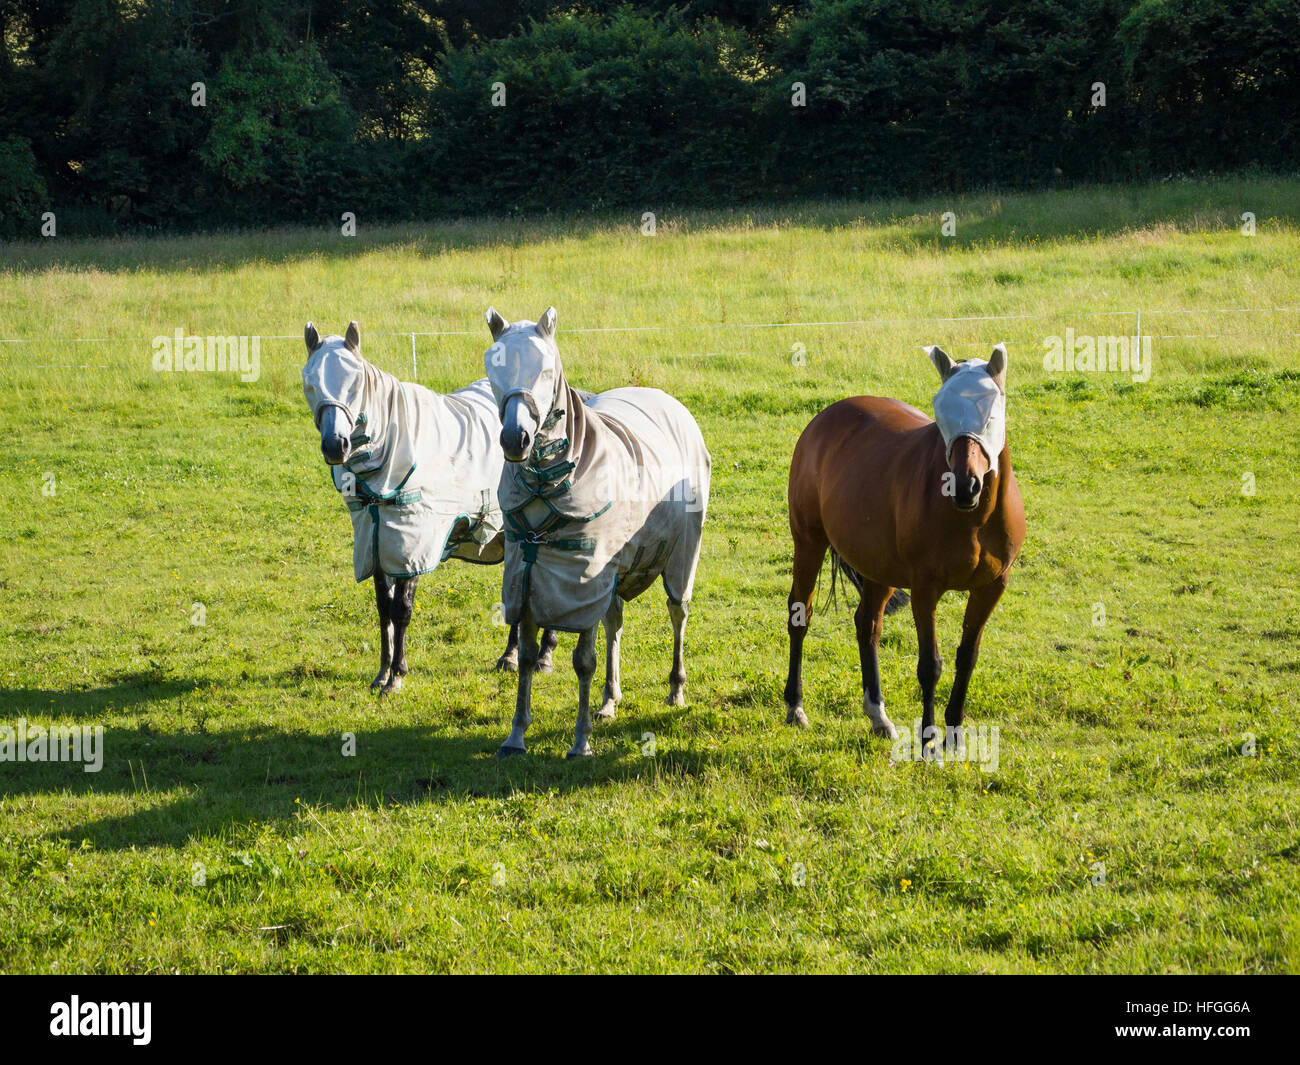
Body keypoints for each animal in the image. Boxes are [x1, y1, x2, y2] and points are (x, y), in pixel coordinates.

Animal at [300, 321, 559, 690]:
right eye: (310, 383)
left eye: (355, 382)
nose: (336, 445)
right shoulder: (377, 542)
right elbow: (384, 608)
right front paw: (382, 672)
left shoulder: (413, 543)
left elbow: (402, 609)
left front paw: (396, 676)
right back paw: (510, 656)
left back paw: (544, 656)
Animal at [483, 306, 711, 758]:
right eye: (494, 370)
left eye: (545, 370)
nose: (515, 439)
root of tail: (669, 402)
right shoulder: (531, 578)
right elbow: (530, 656)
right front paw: (516, 735)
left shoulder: (583, 580)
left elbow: (582, 662)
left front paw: (580, 741)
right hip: (616, 571)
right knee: (615, 624)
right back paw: (609, 698)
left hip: (680, 556)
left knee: (678, 612)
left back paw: (676, 689)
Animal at [783, 343, 1026, 753]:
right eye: (940, 412)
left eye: (991, 413)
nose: (965, 485)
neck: (974, 518)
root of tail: (827, 417)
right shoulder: (925, 589)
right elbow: (930, 665)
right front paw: (929, 742)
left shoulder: (992, 587)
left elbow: (967, 657)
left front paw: (954, 736)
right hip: (809, 542)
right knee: (801, 615)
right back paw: (795, 706)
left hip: (878, 567)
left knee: (867, 624)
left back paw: (878, 715)